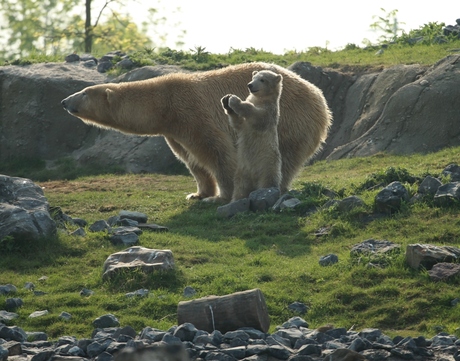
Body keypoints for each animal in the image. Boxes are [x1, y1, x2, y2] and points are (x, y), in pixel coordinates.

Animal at [63, 62, 332, 202]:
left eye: (84, 92)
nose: (64, 101)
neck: (163, 103)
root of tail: (320, 98)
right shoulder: (174, 131)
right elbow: (191, 160)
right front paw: (197, 193)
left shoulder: (192, 112)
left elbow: (217, 152)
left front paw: (221, 196)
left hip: (291, 122)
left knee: (285, 157)